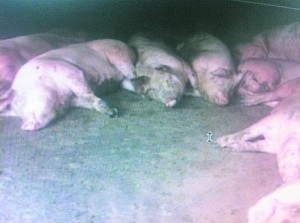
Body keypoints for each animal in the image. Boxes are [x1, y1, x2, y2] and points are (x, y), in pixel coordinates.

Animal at [0, 39, 136, 131]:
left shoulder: (70, 72)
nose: (24, 126)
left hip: (120, 57)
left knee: (132, 74)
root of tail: (127, 45)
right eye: (18, 114)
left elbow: (85, 91)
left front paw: (113, 112)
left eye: (23, 101)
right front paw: (111, 112)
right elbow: (87, 101)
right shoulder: (74, 100)